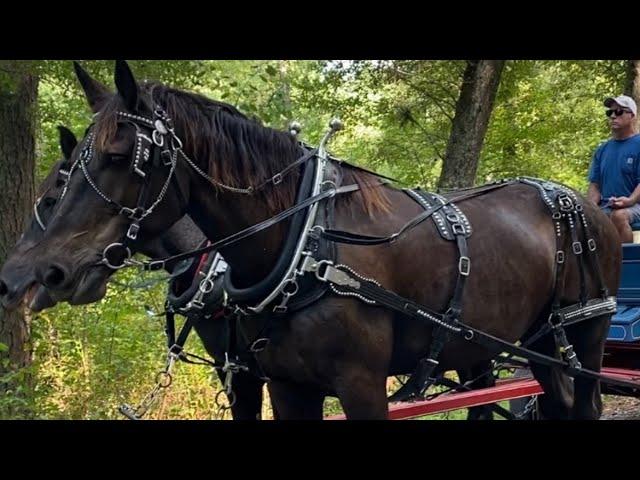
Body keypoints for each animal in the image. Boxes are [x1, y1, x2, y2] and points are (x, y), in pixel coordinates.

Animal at [21, 61, 620, 420]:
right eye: (68, 172)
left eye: (122, 156)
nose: (44, 272)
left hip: (584, 335)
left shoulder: (360, 385)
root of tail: (588, 208)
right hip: (517, 343)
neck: (307, 246)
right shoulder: (284, 385)